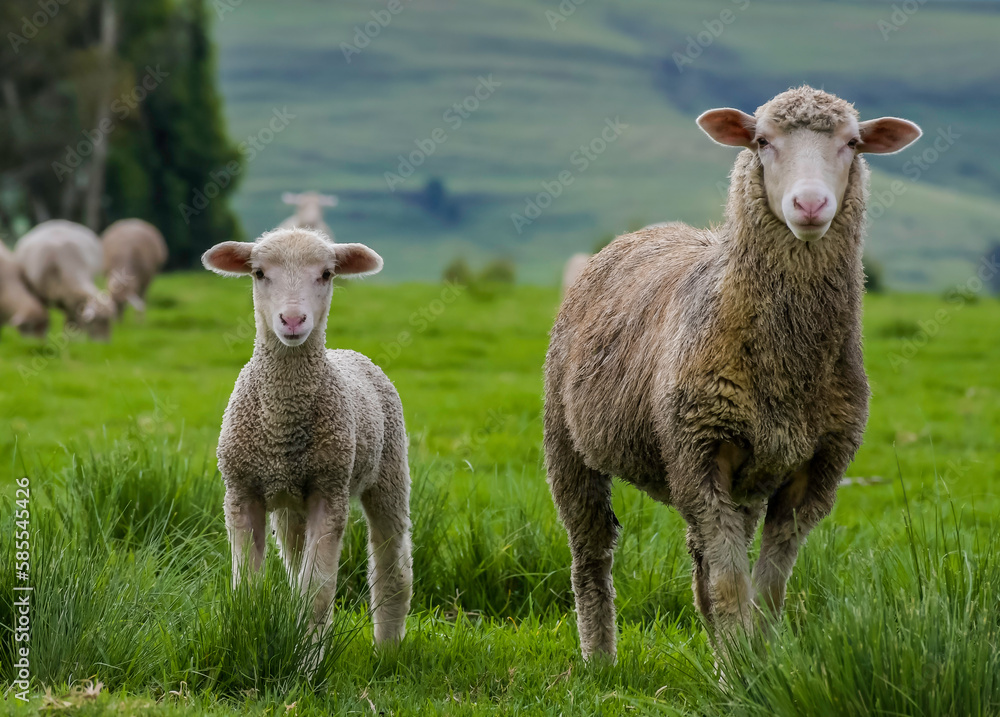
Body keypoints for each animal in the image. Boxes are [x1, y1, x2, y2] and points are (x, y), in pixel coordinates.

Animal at [201, 227, 412, 648]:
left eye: (327, 274)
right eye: (259, 273)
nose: (294, 319)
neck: (282, 424)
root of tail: (348, 352)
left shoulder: (328, 493)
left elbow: (316, 595)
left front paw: (308, 659)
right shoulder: (241, 492)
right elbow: (248, 591)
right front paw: (250, 639)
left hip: (389, 472)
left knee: (391, 565)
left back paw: (388, 648)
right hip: (289, 506)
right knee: (297, 564)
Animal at [548, 86, 920, 656]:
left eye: (853, 143)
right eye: (762, 141)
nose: (810, 204)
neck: (787, 369)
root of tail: (643, 232)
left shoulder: (814, 471)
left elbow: (765, 592)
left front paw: (758, 662)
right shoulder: (699, 455)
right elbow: (730, 587)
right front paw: (742, 663)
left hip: (742, 477)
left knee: (702, 569)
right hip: (568, 442)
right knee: (591, 555)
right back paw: (599, 659)